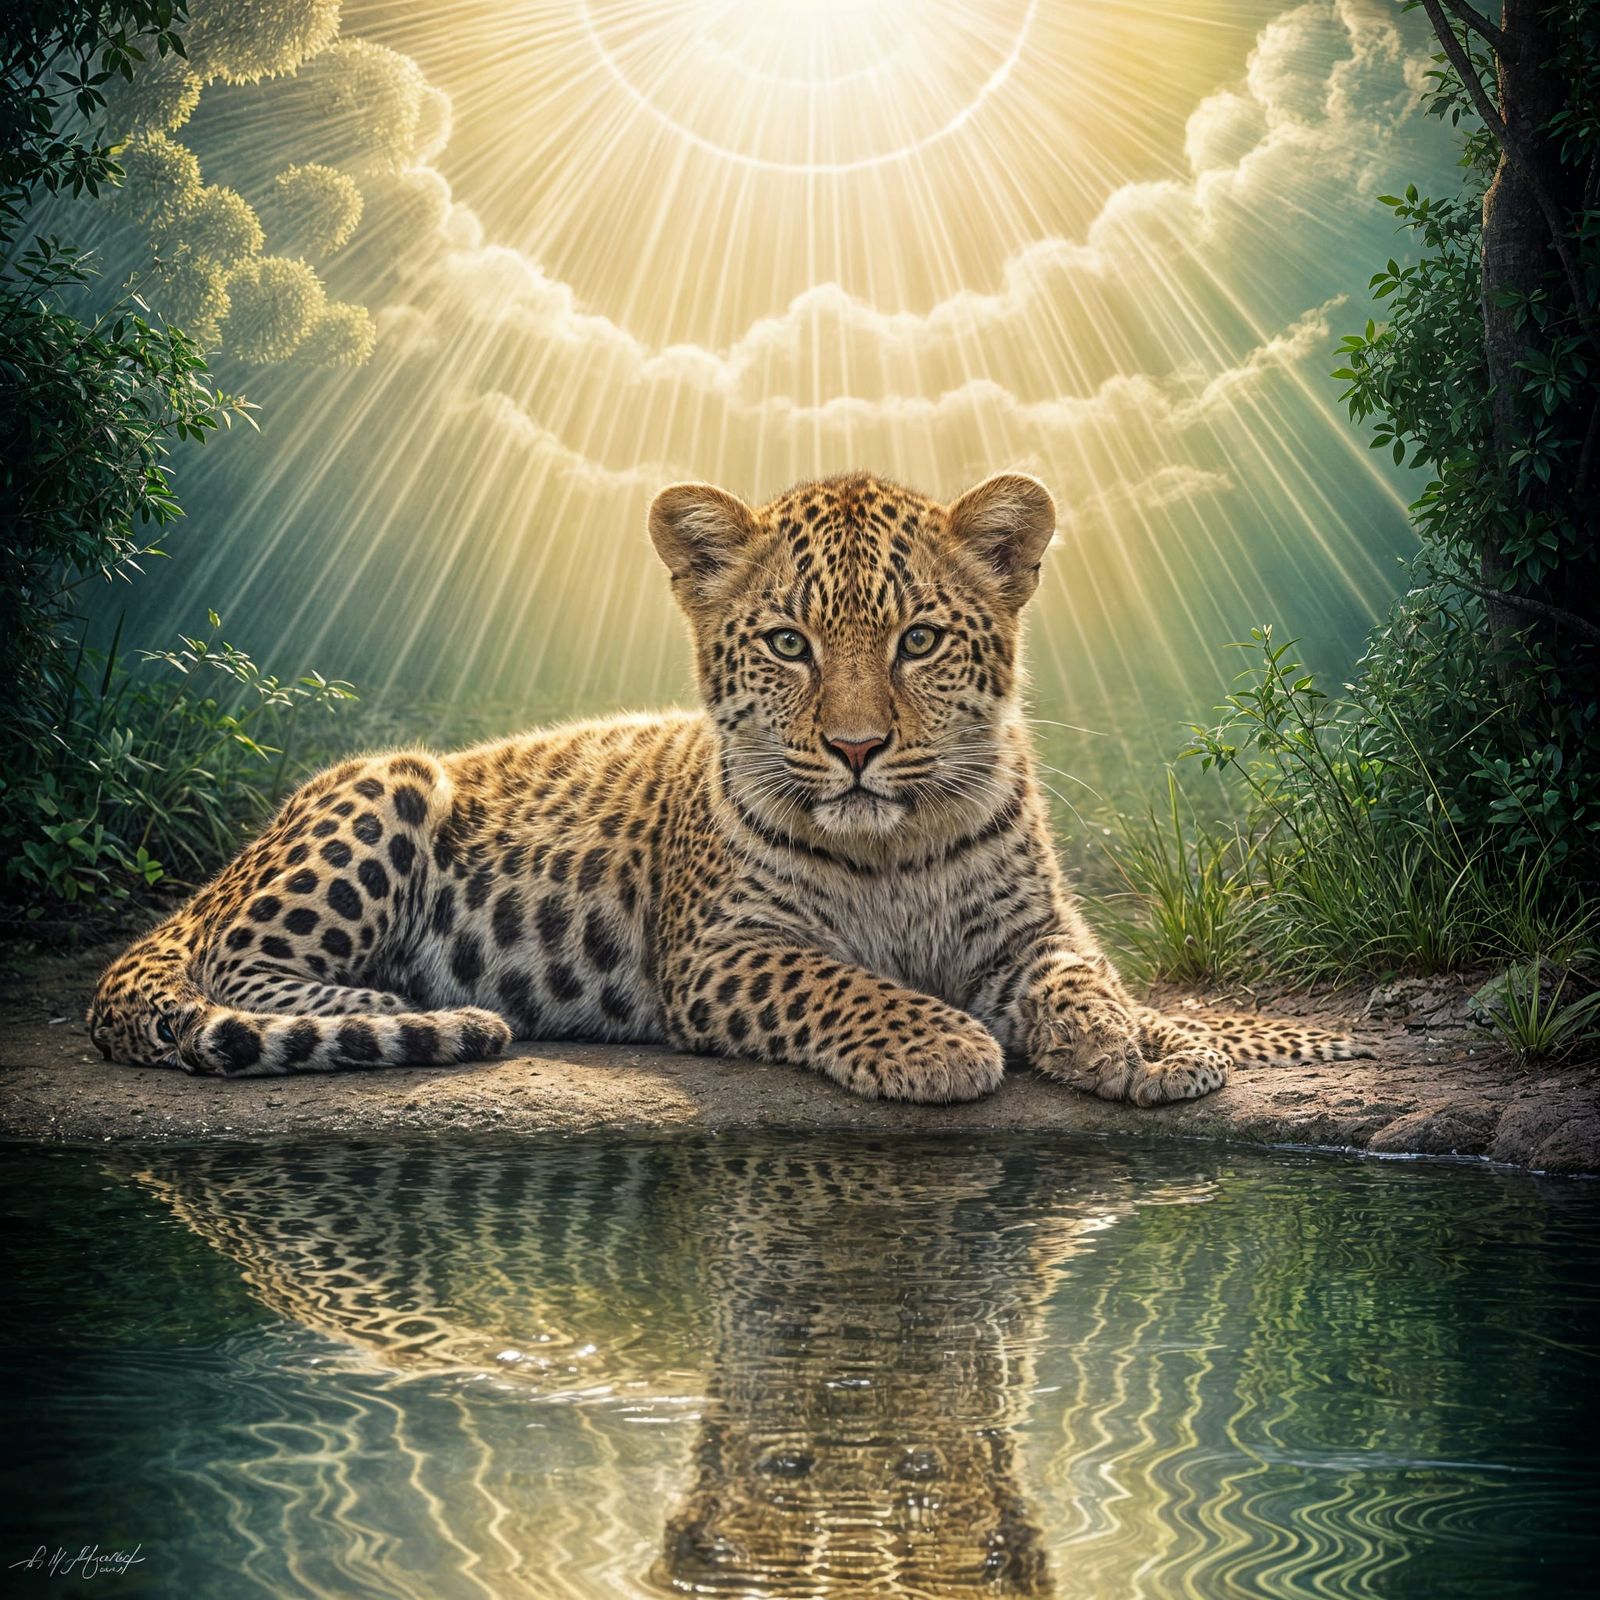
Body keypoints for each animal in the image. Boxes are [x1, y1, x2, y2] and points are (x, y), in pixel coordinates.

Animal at [89, 469, 1365, 1103]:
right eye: (789, 643)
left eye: (916, 640)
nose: (855, 747)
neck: (894, 846)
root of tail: (220, 871)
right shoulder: (724, 952)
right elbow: (848, 985)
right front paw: (941, 1044)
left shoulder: (1035, 937)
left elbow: (1090, 988)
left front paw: (1148, 1048)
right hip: (377, 792)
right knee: (232, 966)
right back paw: (392, 1000)